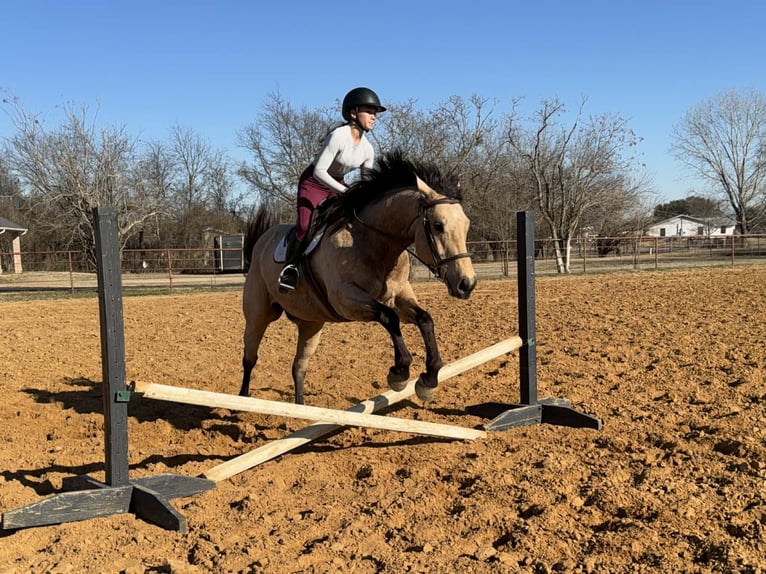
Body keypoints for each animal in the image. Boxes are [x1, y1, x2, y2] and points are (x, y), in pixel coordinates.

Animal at [239, 150, 477, 405]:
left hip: (311, 322)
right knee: (250, 357)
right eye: (438, 225)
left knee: (299, 366)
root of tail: (262, 240)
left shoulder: (399, 295)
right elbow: (389, 317)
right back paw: (241, 401)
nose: (467, 284)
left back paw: (300, 406)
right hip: (258, 316)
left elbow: (425, 319)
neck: (374, 241)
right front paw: (399, 373)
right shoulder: (346, 299)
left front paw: (428, 380)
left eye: (466, 225)